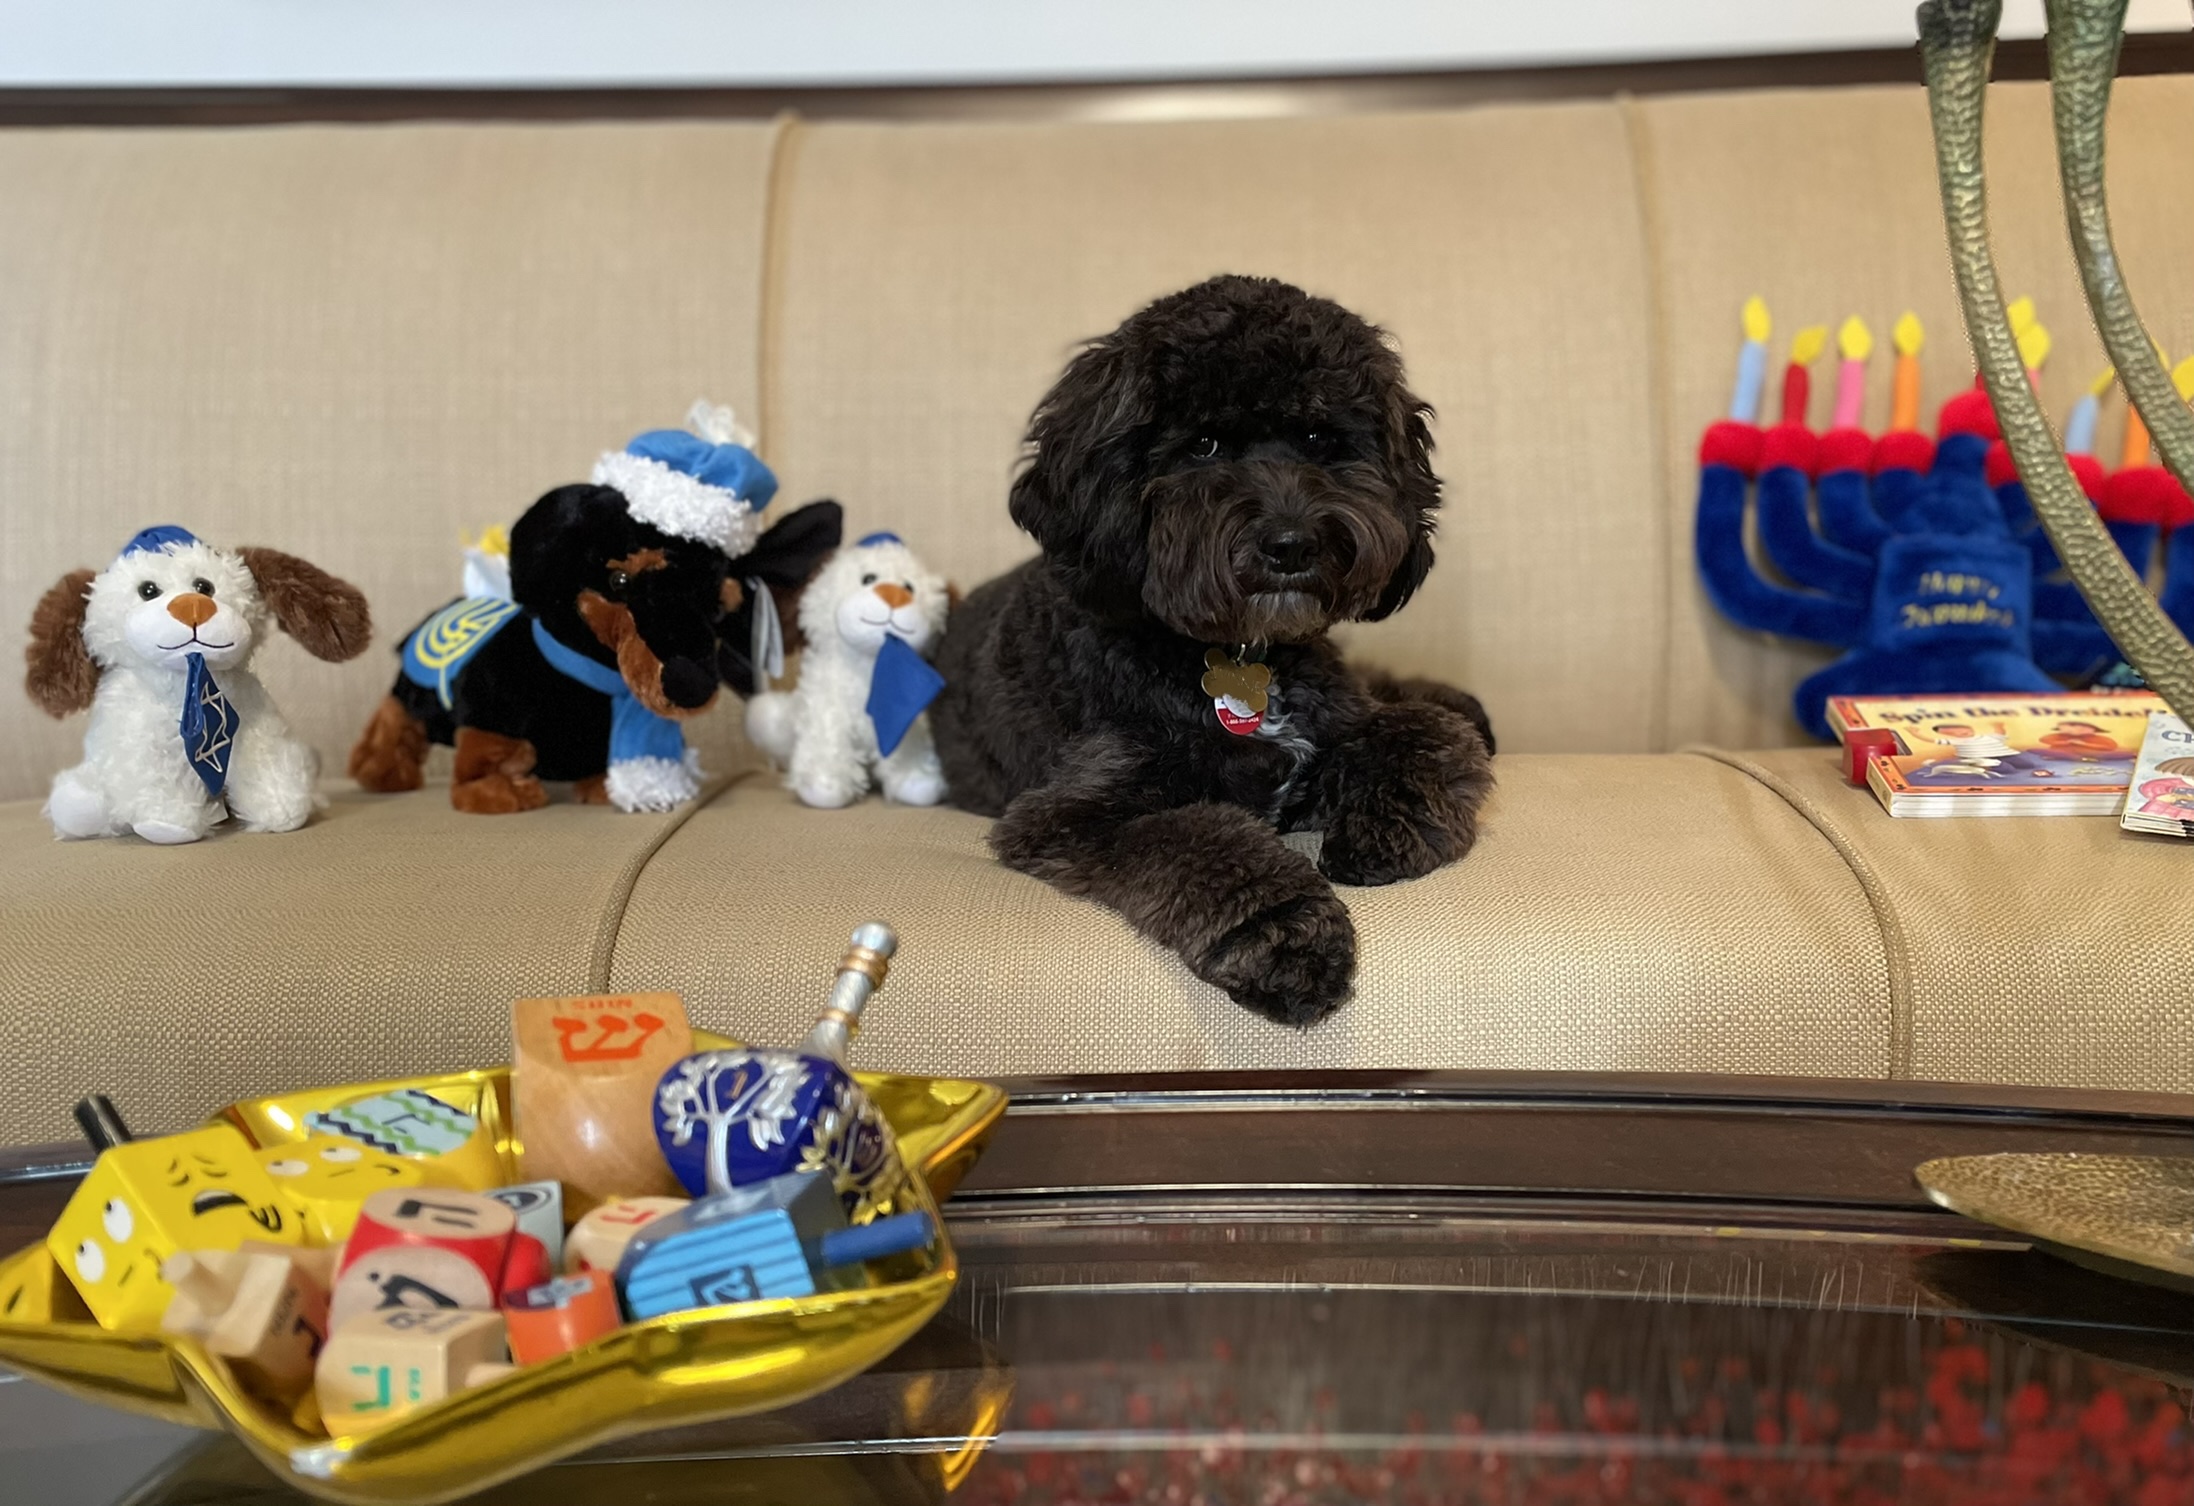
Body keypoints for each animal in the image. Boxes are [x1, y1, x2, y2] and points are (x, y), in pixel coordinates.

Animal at [934, 274, 1500, 1027]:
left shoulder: (1336, 720)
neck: (1241, 652)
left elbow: (1422, 735)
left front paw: (1383, 829)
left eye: (1318, 436)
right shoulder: (1069, 815)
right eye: (1202, 445)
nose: (1292, 545)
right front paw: (1288, 940)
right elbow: (1202, 843)